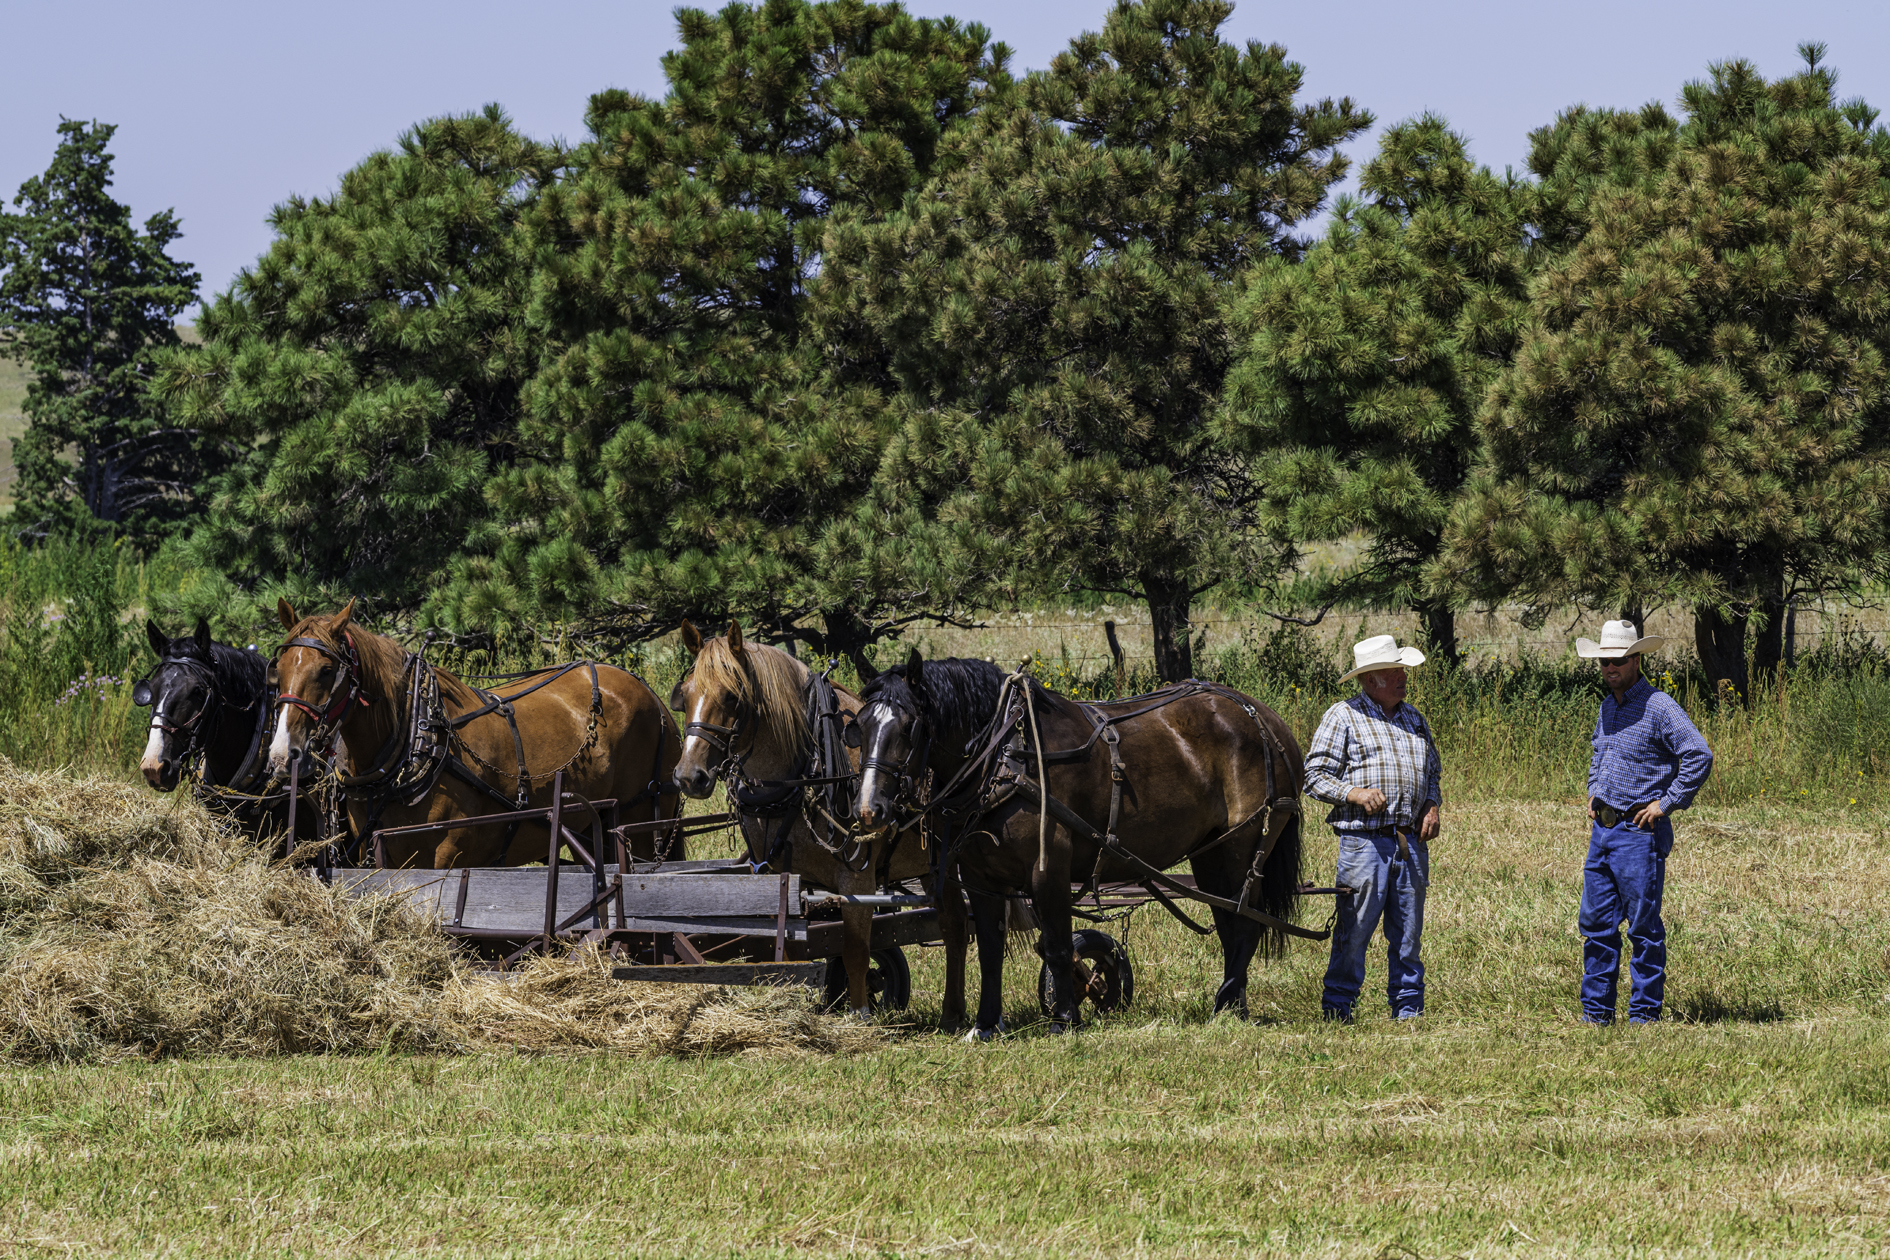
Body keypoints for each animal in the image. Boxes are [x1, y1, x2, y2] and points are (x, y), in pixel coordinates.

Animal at [266, 600, 680, 868]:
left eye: (325, 670)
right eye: (278, 669)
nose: (283, 754)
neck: (416, 742)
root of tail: (656, 700)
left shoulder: (450, 854)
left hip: (642, 824)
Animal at [672, 623, 952, 1027]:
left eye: (731, 696)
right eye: (687, 692)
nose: (688, 776)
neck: (805, 775)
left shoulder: (857, 882)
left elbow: (855, 951)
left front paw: (861, 1011)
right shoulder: (781, 878)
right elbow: (788, 949)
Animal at [850, 657, 1307, 1042]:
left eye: (909, 728)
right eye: (860, 726)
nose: (869, 809)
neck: (1006, 757)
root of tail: (1266, 719)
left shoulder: (1047, 869)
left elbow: (1057, 945)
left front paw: (1065, 1019)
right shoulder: (982, 879)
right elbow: (990, 952)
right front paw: (984, 1025)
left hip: (1244, 847)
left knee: (1245, 925)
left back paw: (1224, 1003)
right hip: (1210, 854)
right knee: (1231, 924)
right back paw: (1234, 1005)